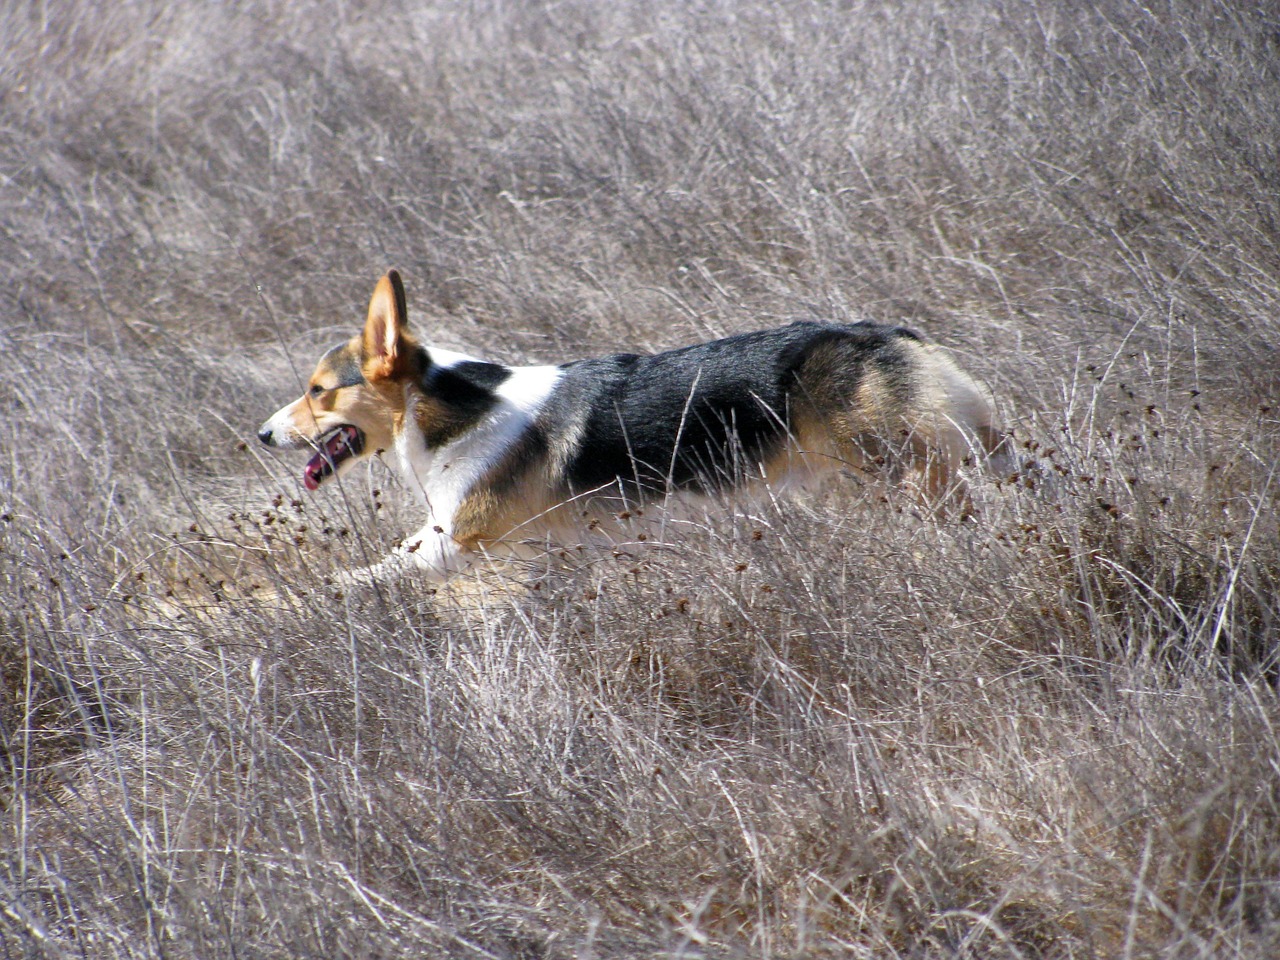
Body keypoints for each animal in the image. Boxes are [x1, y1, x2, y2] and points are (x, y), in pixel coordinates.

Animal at [254, 272, 1003, 586]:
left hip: (904, 474)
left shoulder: (452, 543)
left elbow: (363, 576)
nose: (261, 435)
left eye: (317, 393)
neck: (442, 410)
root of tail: (890, 335)